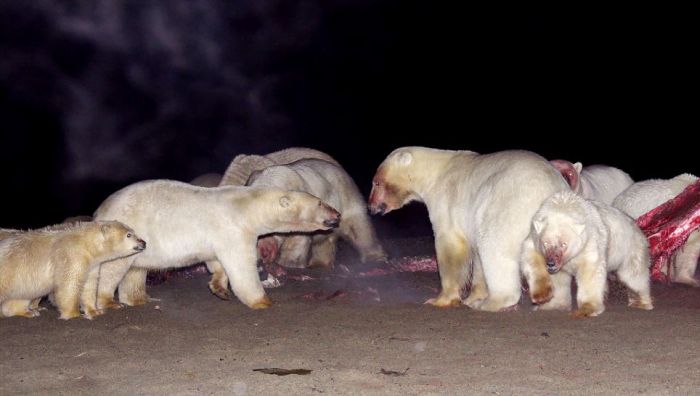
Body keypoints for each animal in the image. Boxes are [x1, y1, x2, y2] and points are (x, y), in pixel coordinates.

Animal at [0, 221, 145, 320]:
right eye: (129, 235)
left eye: (133, 231)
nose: (143, 243)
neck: (86, 243)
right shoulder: (71, 255)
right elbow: (69, 284)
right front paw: (74, 314)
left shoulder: (91, 264)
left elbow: (89, 286)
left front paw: (95, 311)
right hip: (8, 273)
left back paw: (29, 312)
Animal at [83, 181, 340, 318]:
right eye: (320, 202)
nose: (337, 214)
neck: (247, 206)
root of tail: (99, 211)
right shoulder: (234, 229)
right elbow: (240, 265)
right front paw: (262, 301)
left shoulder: (219, 237)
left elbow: (216, 262)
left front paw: (220, 289)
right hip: (125, 232)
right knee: (114, 268)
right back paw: (108, 301)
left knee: (137, 269)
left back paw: (138, 299)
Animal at [366, 147, 568, 310]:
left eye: (376, 182)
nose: (371, 207)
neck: (435, 172)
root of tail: (546, 191)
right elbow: (476, 257)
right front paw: (473, 297)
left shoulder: (446, 200)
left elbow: (450, 246)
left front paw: (441, 300)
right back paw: (551, 301)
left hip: (505, 205)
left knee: (495, 249)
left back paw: (492, 302)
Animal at [520, 190, 652, 318]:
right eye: (545, 243)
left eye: (563, 244)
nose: (551, 263)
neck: (564, 205)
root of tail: (638, 228)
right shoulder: (535, 237)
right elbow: (530, 255)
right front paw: (545, 299)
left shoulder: (589, 241)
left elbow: (590, 271)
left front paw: (586, 309)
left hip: (632, 248)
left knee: (633, 276)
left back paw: (642, 303)